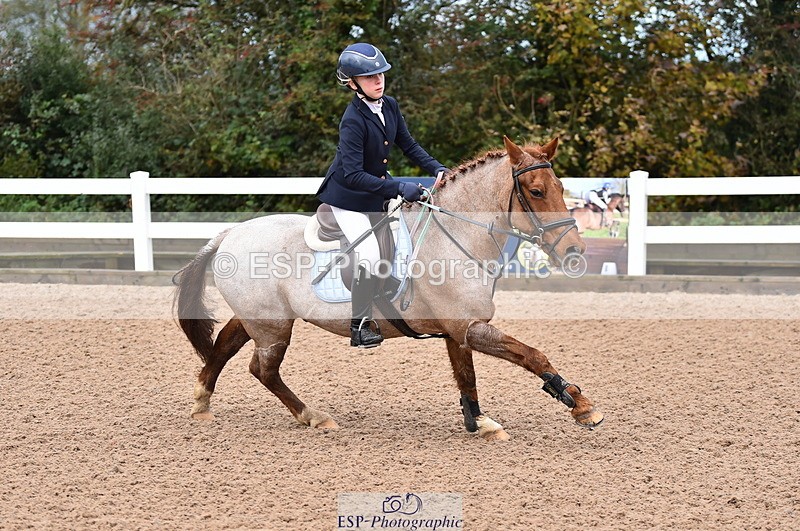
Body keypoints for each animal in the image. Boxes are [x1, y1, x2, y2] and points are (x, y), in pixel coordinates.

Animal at [174, 136, 604, 441]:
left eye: (560, 187)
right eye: (535, 192)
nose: (574, 251)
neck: (456, 235)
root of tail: (230, 233)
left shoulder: (460, 329)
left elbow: (467, 377)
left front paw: (479, 422)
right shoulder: (469, 327)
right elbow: (532, 354)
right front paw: (581, 405)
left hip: (262, 318)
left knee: (226, 345)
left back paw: (202, 402)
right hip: (272, 325)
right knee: (263, 369)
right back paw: (313, 416)